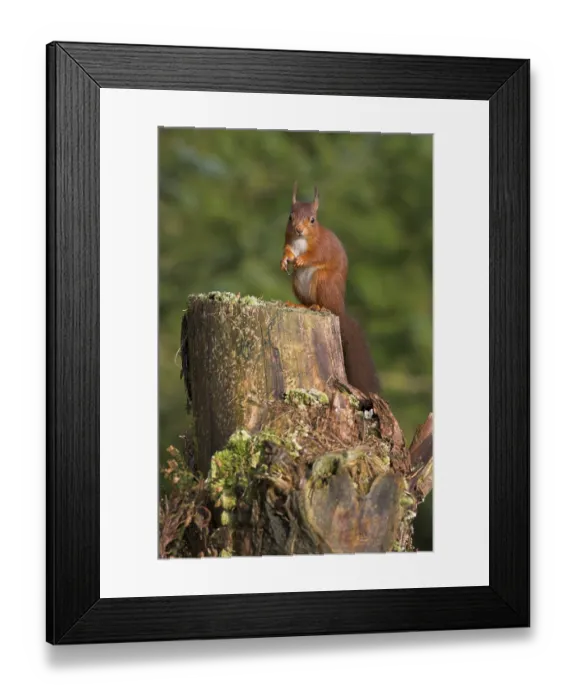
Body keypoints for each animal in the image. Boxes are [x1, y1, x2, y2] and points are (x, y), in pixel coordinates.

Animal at [280, 182, 381, 397]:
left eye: (312, 219)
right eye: (290, 217)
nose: (298, 230)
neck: (301, 241)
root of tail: (340, 311)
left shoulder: (322, 247)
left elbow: (315, 256)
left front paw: (301, 260)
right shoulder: (288, 241)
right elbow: (286, 250)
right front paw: (285, 261)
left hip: (323, 282)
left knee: (325, 304)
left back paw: (319, 307)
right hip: (297, 284)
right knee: (306, 303)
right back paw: (300, 305)